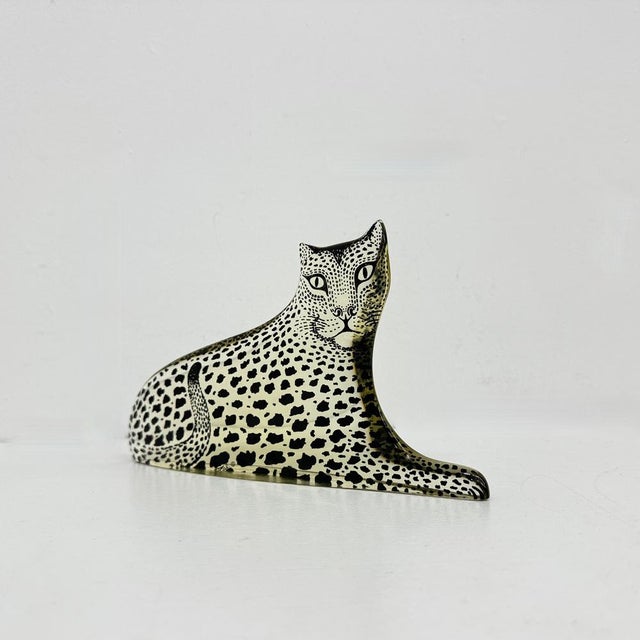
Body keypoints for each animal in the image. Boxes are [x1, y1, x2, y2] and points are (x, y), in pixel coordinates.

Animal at [128, 220, 490, 499]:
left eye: (364, 272)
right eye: (318, 282)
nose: (345, 312)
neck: (356, 356)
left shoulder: (385, 443)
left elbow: (434, 466)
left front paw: (474, 477)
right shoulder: (356, 460)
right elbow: (427, 477)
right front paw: (469, 485)